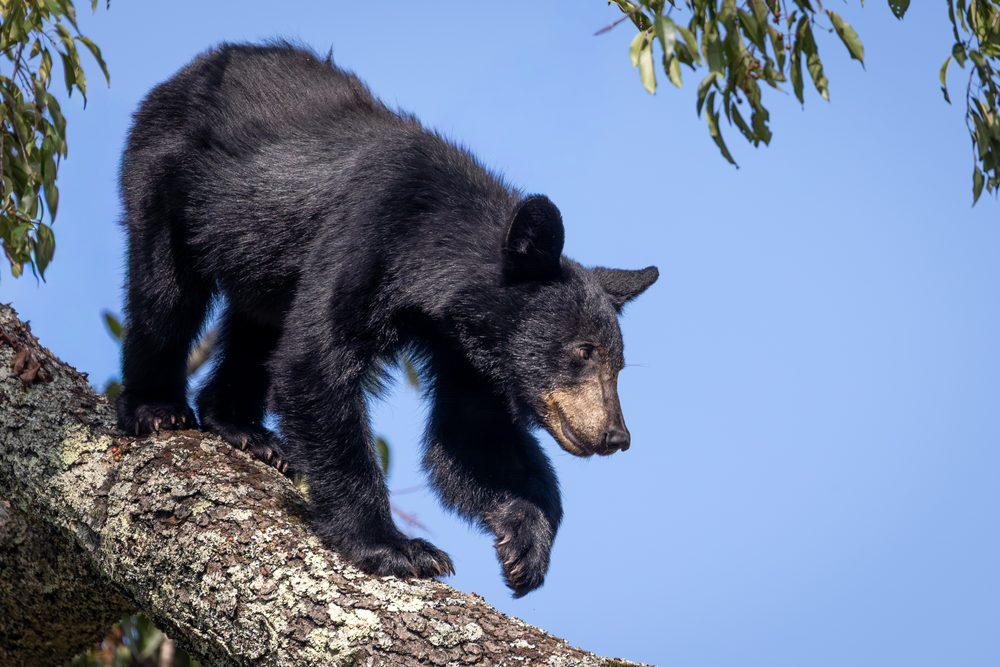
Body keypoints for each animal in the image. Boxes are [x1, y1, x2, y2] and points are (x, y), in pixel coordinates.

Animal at [115, 42, 658, 596]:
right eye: (584, 350)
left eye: (618, 364)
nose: (617, 436)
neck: (429, 263)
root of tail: (198, 65)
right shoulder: (363, 238)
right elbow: (316, 362)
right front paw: (397, 547)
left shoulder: (463, 343)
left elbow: (468, 434)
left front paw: (525, 540)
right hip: (168, 175)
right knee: (164, 294)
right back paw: (157, 406)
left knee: (258, 328)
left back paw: (244, 428)